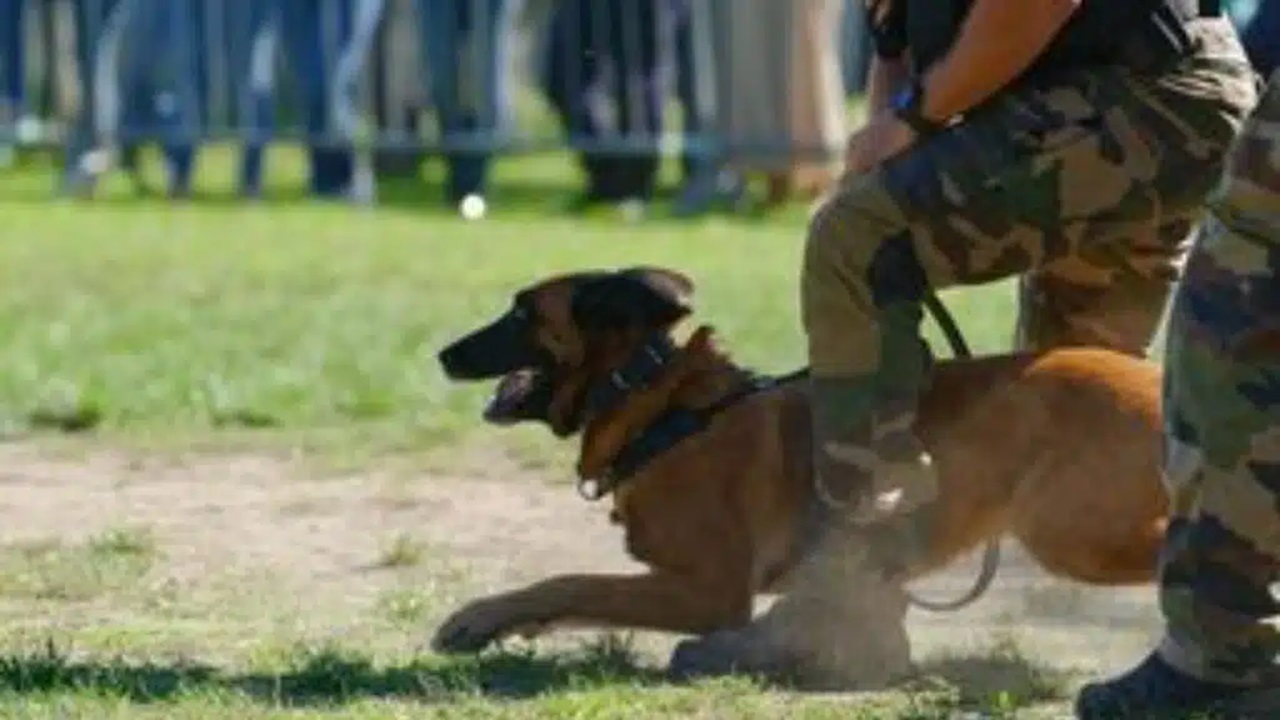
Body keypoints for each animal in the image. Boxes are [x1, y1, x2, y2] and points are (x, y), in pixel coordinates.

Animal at [432, 263, 1172, 671]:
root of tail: (1162, 382)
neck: (654, 400)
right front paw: (501, 622)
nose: (442, 353)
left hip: (1069, 532)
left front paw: (483, 615)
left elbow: (574, 581)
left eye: (522, 312)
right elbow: (574, 592)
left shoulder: (708, 592)